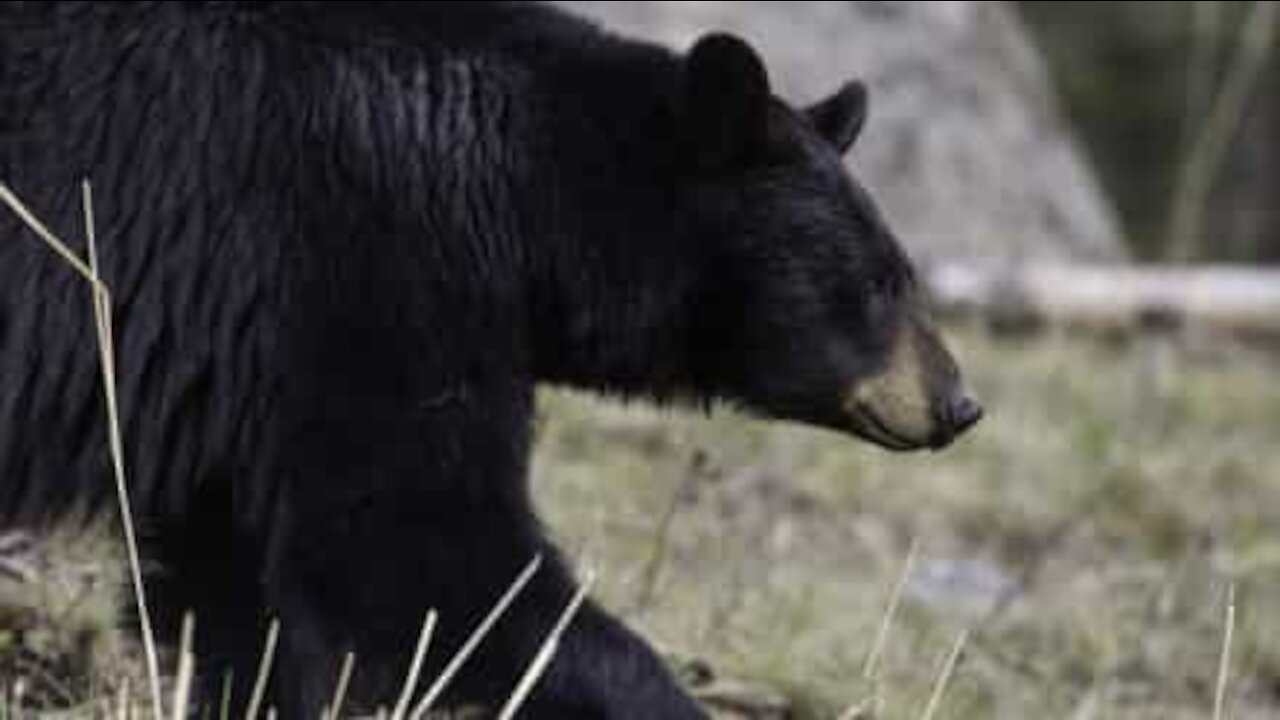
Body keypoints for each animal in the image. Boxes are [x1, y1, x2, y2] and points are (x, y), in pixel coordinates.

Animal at [2, 2, 977, 712]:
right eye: (881, 280)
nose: (959, 403)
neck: (518, 194)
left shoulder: (245, 370)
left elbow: (234, 580)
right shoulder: (353, 268)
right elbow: (425, 546)